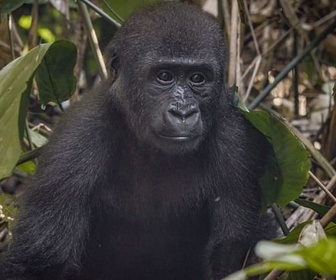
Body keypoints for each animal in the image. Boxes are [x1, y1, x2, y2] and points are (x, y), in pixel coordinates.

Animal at [0, 2, 272, 280]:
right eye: (164, 76)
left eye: (197, 78)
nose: (183, 112)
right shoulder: (75, 143)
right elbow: (41, 264)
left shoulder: (235, 139)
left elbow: (231, 254)